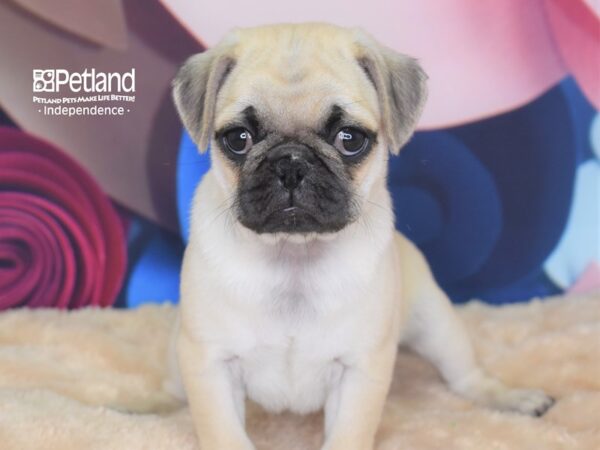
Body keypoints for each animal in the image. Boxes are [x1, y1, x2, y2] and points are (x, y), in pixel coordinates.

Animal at [166, 23, 556, 450]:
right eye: (238, 139)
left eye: (349, 139)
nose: (291, 163)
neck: (294, 257)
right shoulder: (209, 365)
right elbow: (224, 433)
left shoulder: (360, 370)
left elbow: (348, 434)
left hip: (437, 323)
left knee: (466, 376)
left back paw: (512, 399)